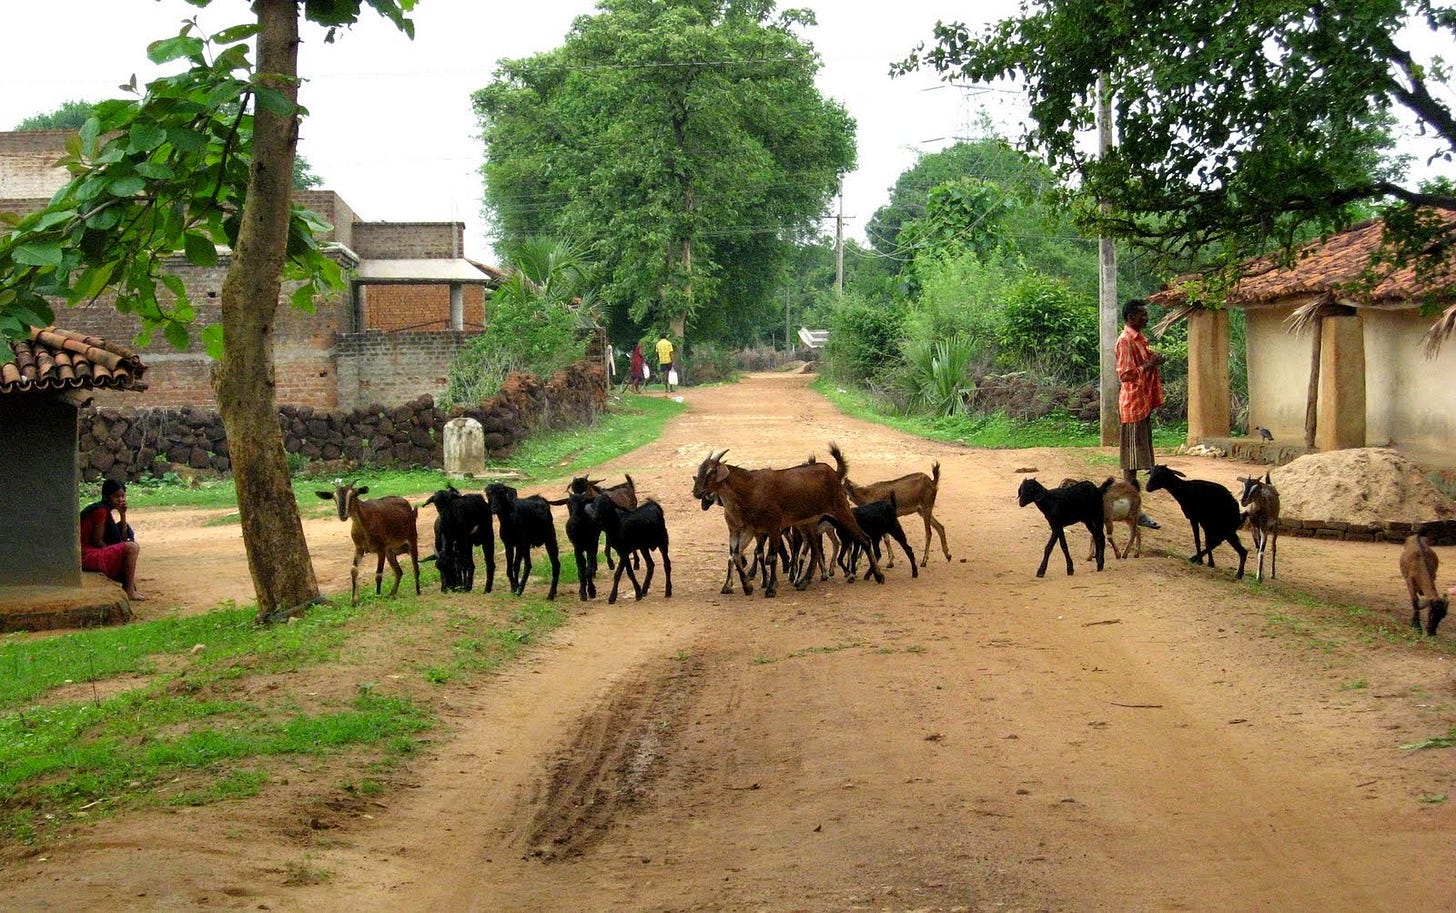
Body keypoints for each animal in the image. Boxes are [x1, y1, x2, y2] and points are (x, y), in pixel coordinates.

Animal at [313, 477, 416, 608]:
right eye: (334, 498)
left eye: (353, 495)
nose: (342, 515)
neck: (364, 522)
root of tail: (404, 501)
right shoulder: (359, 548)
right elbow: (353, 570)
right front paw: (354, 600)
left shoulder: (381, 549)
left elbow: (378, 574)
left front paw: (377, 596)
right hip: (390, 551)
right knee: (399, 571)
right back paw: (392, 594)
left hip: (409, 539)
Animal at [690, 445, 879, 599]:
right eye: (700, 470)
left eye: (711, 472)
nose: (696, 492)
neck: (750, 488)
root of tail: (833, 472)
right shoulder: (750, 529)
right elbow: (735, 555)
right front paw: (746, 587)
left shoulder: (773, 525)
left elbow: (771, 557)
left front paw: (770, 588)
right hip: (809, 522)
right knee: (816, 551)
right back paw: (803, 582)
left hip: (840, 510)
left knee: (863, 538)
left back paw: (876, 575)